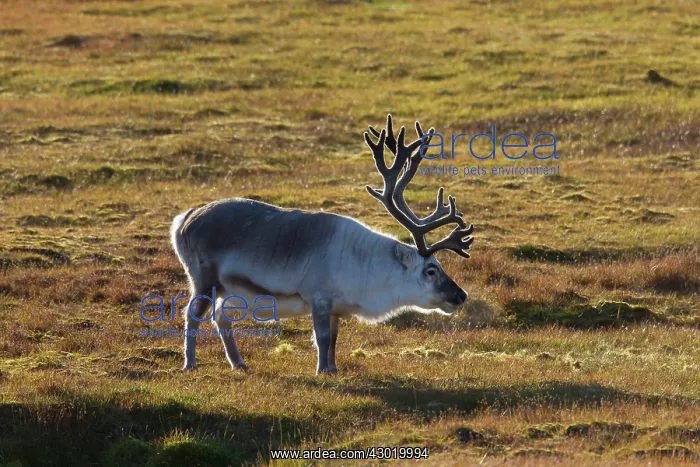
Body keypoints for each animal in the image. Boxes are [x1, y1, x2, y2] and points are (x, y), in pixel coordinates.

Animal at [170, 114, 475, 375]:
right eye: (431, 270)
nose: (460, 295)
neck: (366, 267)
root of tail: (184, 219)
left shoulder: (336, 307)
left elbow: (335, 338)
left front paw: (333, 369)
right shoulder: (319, 297)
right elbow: (323, 337)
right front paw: (320, 371)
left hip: (230, 290)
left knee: (221, 318)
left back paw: (239, 363)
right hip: (204, 279)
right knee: (192, 315)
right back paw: (190, 364)